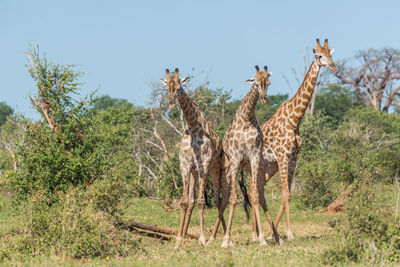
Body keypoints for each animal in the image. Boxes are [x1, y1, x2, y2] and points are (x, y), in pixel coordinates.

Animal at [160, 68, 223, 248]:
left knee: (218, 200)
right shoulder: (185, 166)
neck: (194, 128)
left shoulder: (204, 166)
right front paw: (178, 240)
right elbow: (185, 201)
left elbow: (202, 201)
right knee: (193, 201)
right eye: (167, 88)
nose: (171, 103)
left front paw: (202, 238)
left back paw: (213, 237)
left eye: (179, 88)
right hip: (194, 172)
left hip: (216, 170)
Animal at [208, 65, 274, 249]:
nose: (264, 99)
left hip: (249, 169)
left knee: (252, 194)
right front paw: (226, 240)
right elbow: (232, 199)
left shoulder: (254, 157)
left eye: (268, 83)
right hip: (229, 170)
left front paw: (262, 239)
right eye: (256, 83)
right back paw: (213, 238)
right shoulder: (236, 159)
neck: (246, 119)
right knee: (225, 199)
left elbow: (256, 197)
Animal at [252, 37, 336, 241]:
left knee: (257, 190)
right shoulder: (283, 156)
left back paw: (261, 234)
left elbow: (287, 195)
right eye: (319, 55)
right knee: (252, 191)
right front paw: (288, 233)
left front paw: (275, 233)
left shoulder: (293, 158)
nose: (333, 66)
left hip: (267, 167)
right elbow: (285, 194)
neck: (294, 118)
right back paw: (255, 235)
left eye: (330, 53)